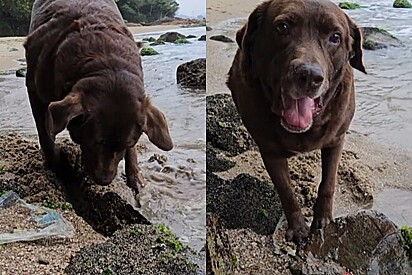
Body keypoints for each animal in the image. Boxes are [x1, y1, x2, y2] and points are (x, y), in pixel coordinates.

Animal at [24, 0, 172, 193]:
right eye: (95, 142)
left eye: (126, 145)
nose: (104, 180)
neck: (106, 62)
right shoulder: (34, 90)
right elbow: (46, 135)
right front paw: (59, 169)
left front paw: (135, 176)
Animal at [229, 0, 366, 242]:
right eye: (282, 27)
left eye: (335, 37)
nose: (309, 76)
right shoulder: (270, 151)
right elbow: (286, 191)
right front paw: (298, 228)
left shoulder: (336, 139)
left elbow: (328, 182)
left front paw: (322, 219)